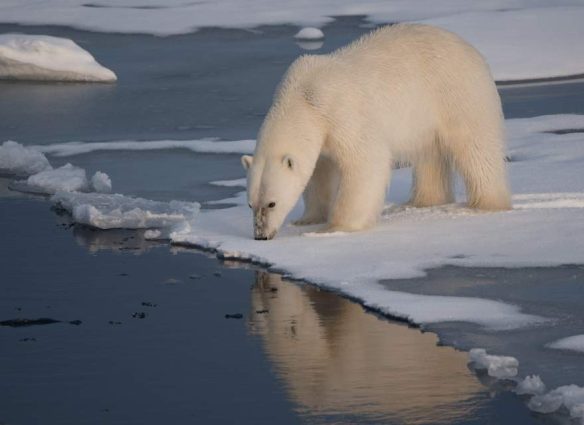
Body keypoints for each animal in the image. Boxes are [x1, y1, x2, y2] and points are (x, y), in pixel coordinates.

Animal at [242, 24, 512, 238]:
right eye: (250, 204)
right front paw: (307, 219)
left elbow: (365, 161)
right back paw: (422, 201)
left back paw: (487, 204)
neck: (304, 97)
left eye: (272, 203)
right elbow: (319, 172)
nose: (261, 236)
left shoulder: (342, 113)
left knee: (475, 148)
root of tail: (471, 49)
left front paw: (335, 227)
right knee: (429, 155)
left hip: (457, 94)